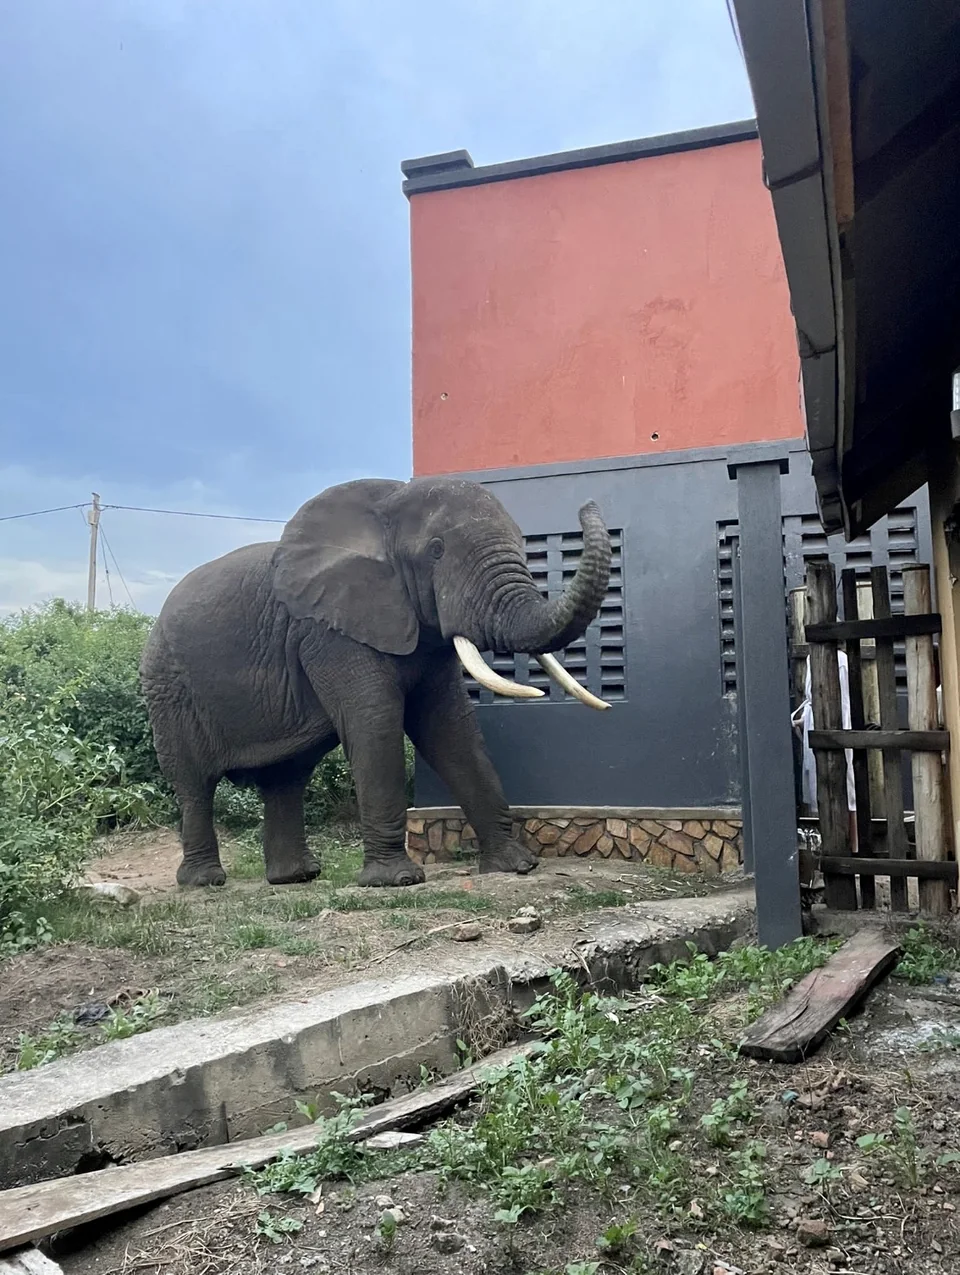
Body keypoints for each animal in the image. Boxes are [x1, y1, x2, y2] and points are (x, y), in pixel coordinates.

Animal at [140, 476, 612, 889]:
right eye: (436, 550)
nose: (588, 504)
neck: (387, 506)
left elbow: (450, 729)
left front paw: (516, 866)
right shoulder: (327, 632)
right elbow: (376, 719)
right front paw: (396, 881)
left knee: (286, 778)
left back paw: (296, 877)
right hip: (168, 689)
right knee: (193, 783)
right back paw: (204, 882)